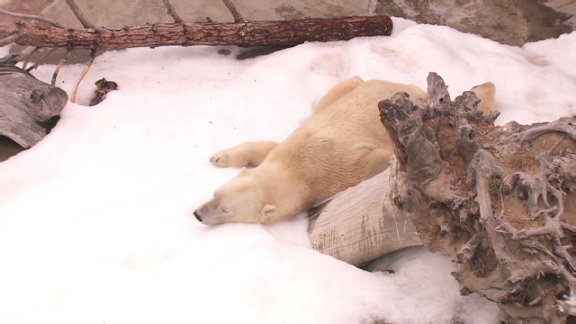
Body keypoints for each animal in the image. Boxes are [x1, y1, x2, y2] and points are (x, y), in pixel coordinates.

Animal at [194, 77, 496, 224]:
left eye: (226, 211)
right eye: (215, 194)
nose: (198, 214)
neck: (298, 169)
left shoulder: (336, 173)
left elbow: (376, 160)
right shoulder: (288, 146)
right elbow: (266, 146)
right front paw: (219, 156)